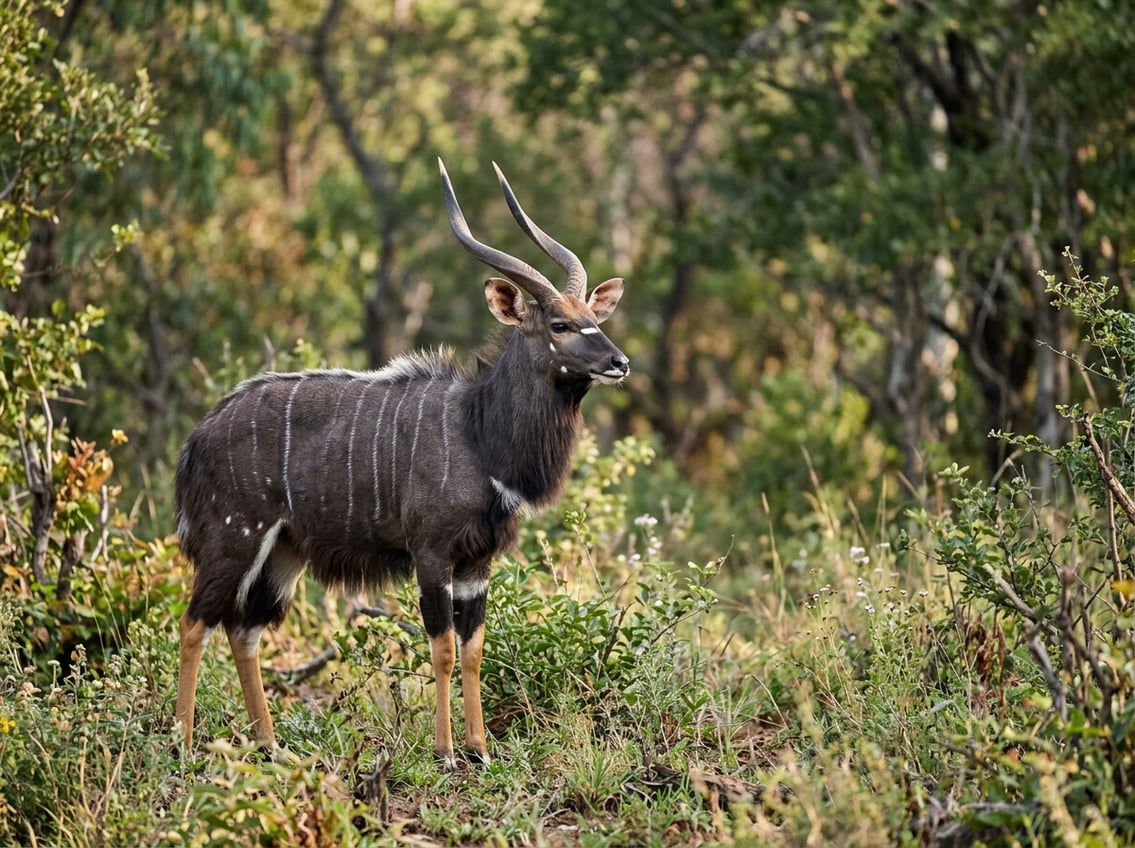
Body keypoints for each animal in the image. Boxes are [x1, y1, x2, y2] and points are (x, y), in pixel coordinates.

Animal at [173, 159, 629, 766]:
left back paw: (271, 746)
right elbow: (442, 649)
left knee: (244, 631)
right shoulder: (430, 552)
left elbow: (473, 649)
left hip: (283, 554)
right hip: (234, 537)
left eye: (592, 317)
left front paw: (481, 749)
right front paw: (445, 752)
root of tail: (197, 438)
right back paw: (182, 743)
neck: (479, 434)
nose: (619, 362)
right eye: (558, 324)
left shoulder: (478, 562)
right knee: (195, 622)